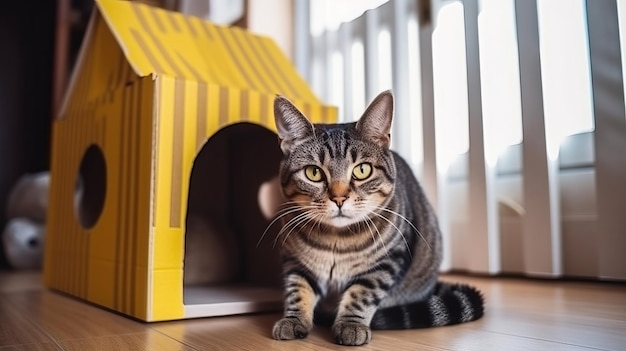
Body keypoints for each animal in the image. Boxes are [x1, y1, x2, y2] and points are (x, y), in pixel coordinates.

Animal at [268, 91, 482, 346]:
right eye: (313, 172)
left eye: (362, 170)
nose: (339, 198)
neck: (336, 240)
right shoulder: (296, 261)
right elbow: (297, 288)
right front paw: (293, 320)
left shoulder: (387, 261)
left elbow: (362, 292)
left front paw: (351, 325)